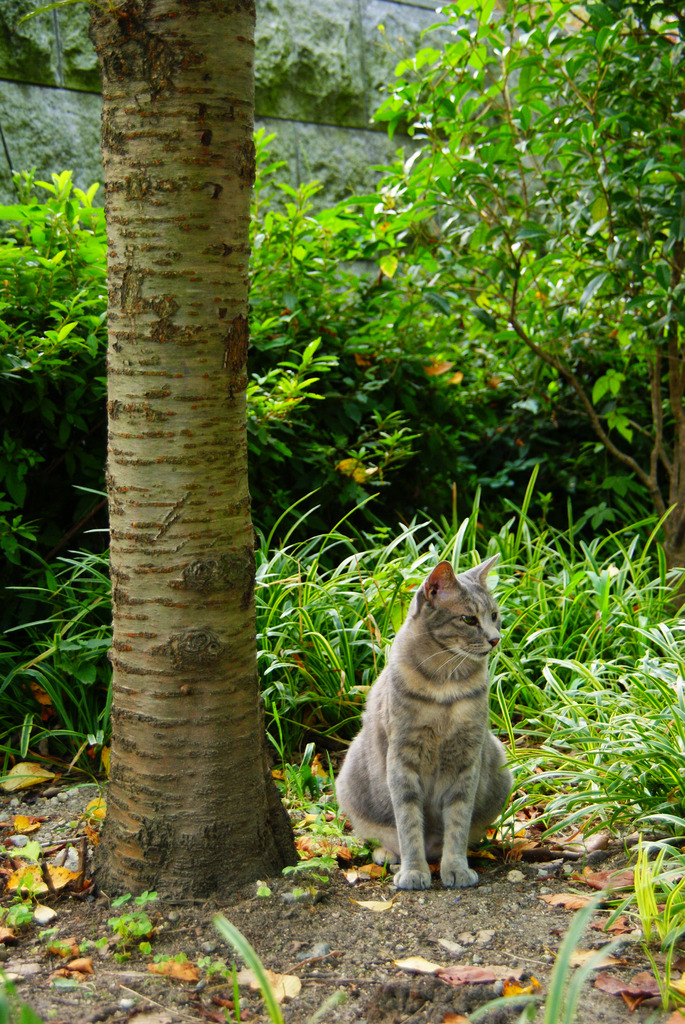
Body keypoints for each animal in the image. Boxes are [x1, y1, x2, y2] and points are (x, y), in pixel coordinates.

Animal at [335, 552, 507, 888]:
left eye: (494, 615)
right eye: (468, 619)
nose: (495, 639)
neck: (446, 684)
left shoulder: (467, 757)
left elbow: (458, 820)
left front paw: (455, 867)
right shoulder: (403, 758)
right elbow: (408, 821)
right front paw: (414, 871)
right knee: (383, 836)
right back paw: (389, 856)